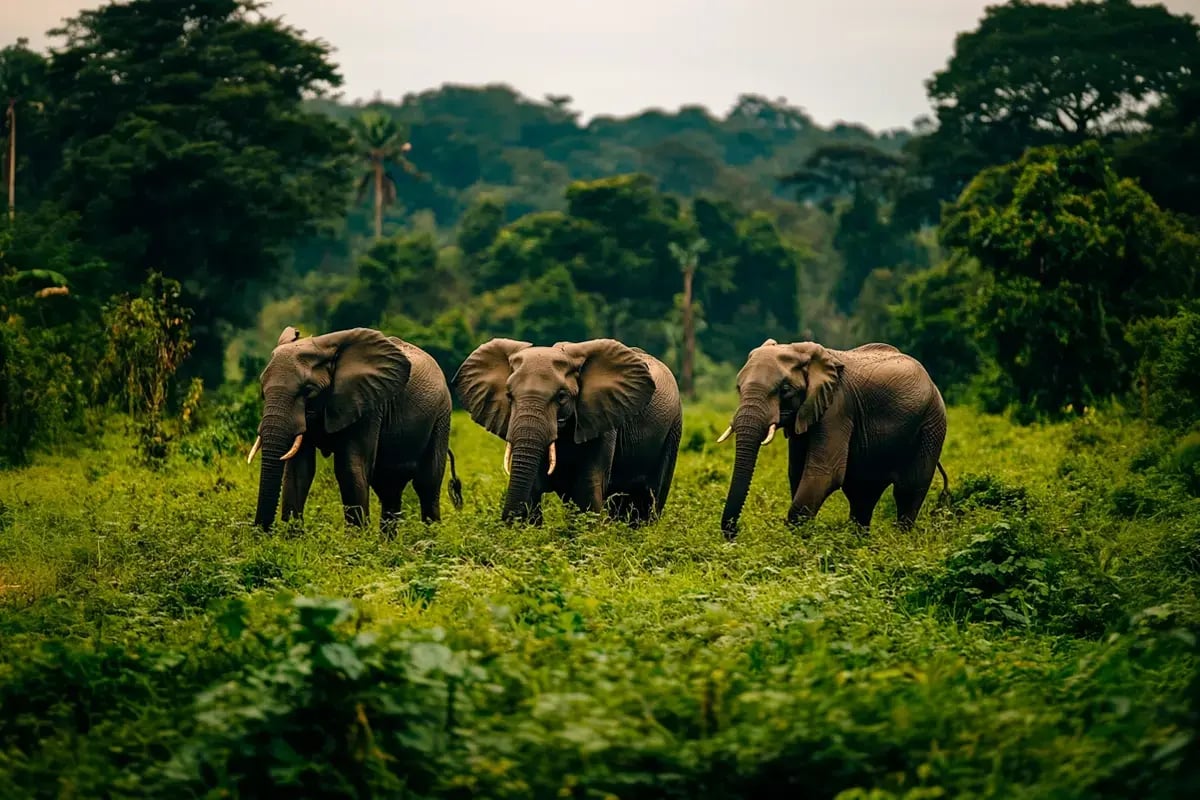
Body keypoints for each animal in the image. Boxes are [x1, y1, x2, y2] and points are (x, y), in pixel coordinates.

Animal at [248, 326, 463, 532]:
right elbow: (298, 471)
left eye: (308, 390)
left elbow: (350, 468)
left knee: (427, 484)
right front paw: (291, 538)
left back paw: (430, 538)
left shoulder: (367, 405)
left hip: (441, 416)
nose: (262, 531)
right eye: (262, 392)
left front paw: (356, 540)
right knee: (389, 488)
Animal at [452, 337, 683, 525]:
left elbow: (587, 488)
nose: (506, 521)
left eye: (561, 397)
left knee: (651, 498)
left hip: (673, 429)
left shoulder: (602, 420)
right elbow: (532, 488)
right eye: (509, 396)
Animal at [718, 339, 949, 537]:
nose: (736, 532)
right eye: (738, 388)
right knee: (862, 494)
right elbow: (797, 472)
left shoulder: (837, 407)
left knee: (908, 489)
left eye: (785, 390)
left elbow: (824, 473)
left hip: (932, 423)